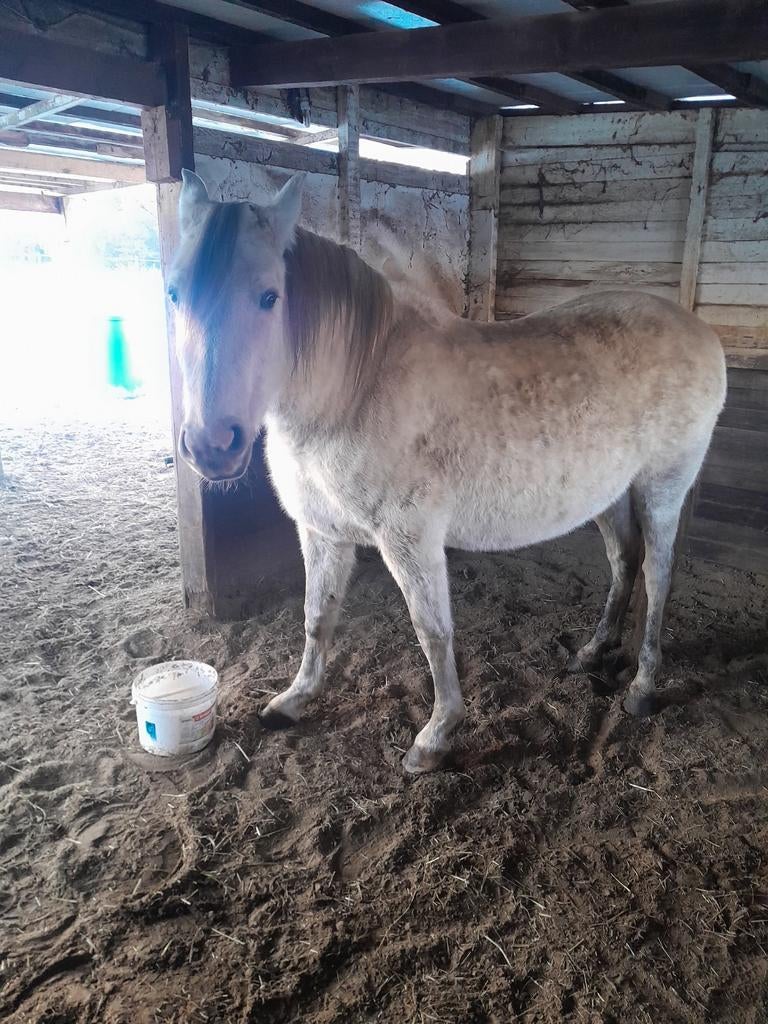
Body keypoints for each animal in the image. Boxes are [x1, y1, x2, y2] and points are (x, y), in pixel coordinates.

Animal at [169, 169, 726, 775]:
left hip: (661, 489)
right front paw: (294, 700)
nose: (211, 446)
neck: (355, 390)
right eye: (174, 293)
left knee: (657, 573)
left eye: (270, 296)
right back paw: (591, 652)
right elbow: (317, 617)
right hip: (609, 494)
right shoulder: (322, 534)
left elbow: (432, 633)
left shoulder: (409, 540)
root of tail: (701, 332)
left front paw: (436, 736)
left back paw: (643, 687)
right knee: (624, 562)